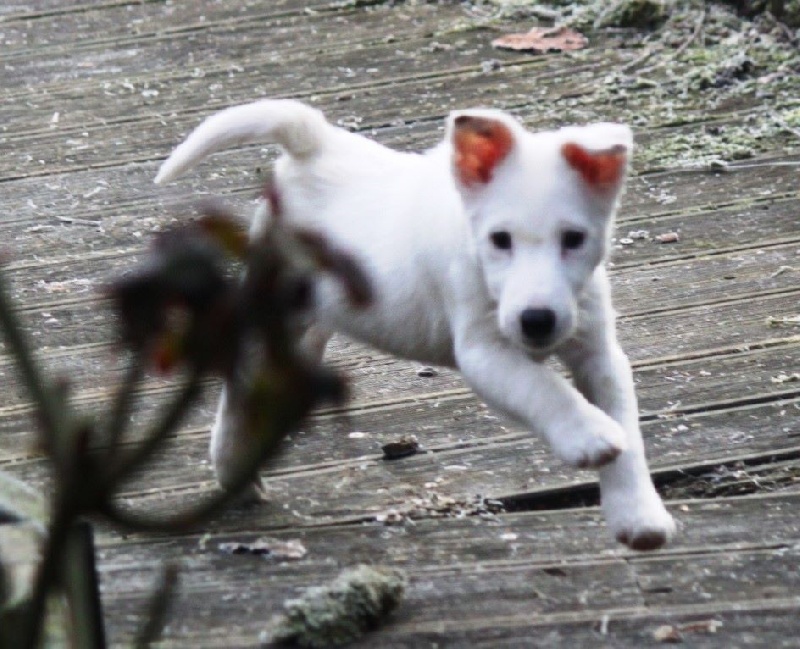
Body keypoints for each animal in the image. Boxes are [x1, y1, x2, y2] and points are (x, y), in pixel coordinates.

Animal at [156, 98, 676, 548]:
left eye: (574, 239)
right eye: (500, 240)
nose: (536, 321)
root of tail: (315, 144)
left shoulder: (599, 354)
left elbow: (625, 426)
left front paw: (638, 516)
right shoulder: (484, 353)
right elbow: (545, 389)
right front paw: (589, 436)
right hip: (277, 305)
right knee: (240, 386)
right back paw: (235, 470)